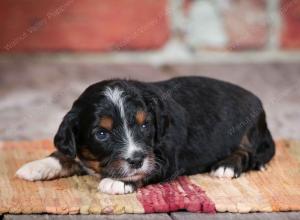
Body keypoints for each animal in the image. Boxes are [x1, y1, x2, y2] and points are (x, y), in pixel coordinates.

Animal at [15, 77, 274, 194]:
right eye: (101, 134)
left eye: (144, 126)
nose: (136, 159)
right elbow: (64, 154)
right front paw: (36, 166)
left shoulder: (167, 159)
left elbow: (148, 170)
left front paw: (118, 182)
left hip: (249, 130)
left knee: (248, 153)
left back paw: (226, 166)